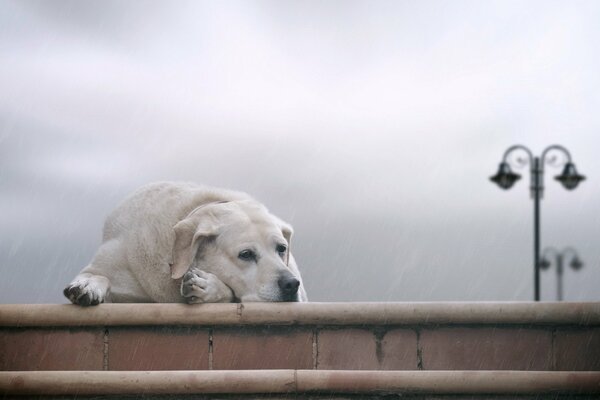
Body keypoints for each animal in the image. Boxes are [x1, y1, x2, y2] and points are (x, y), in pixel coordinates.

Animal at [63, 183, 308, 304]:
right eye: (246, 254)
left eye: (281, 249)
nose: (290, 284)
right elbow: (98, 274)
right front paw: (87, 285)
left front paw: (207, 286)